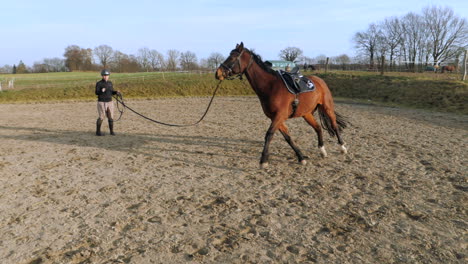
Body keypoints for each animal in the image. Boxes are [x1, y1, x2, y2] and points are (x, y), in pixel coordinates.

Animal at [216, 42, 348, 168]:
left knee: (334, 125)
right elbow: (287, 137)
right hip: (306, 113)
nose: (218, 73)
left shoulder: (279, 116)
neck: (271, 86)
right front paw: (301, 157)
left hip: (327, 108)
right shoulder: (275, 117)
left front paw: (263, 161)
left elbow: (269, 135)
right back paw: (322, 151)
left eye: (232, 57)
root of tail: (319, 80)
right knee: (318, 128)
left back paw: (342, 148)